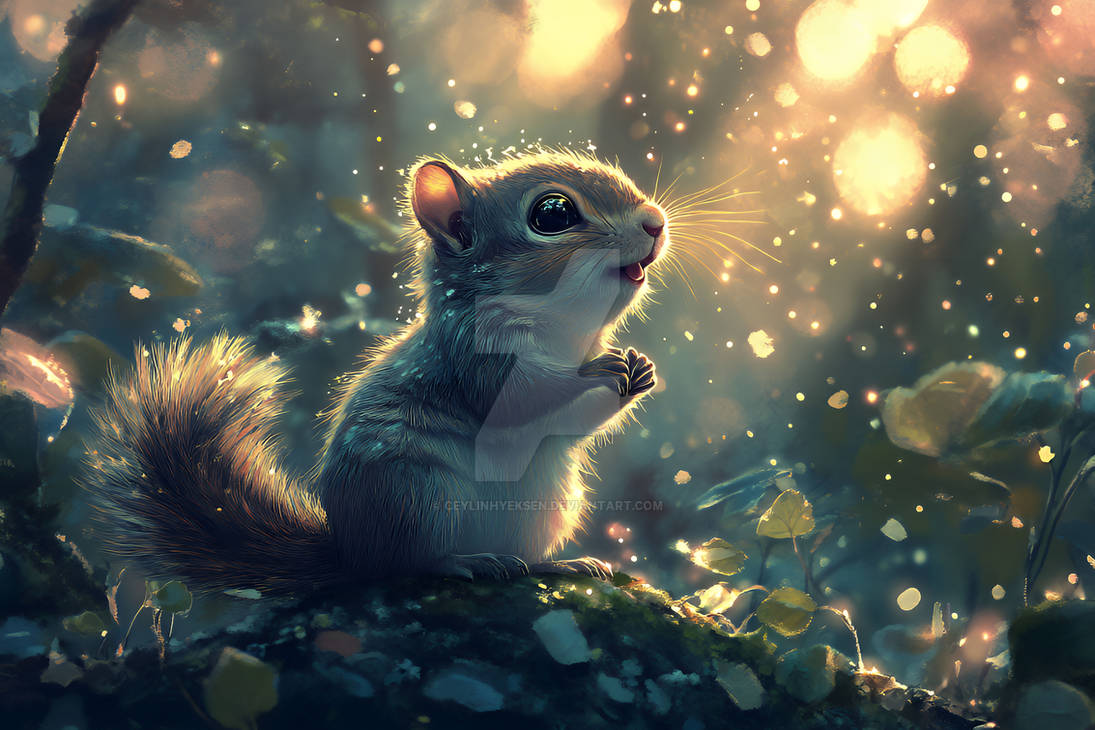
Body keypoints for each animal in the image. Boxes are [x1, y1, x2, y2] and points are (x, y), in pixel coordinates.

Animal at [85, 150, 668, 595]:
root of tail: (348, 550)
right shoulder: (473, 353)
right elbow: (527, 396)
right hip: (419, 497)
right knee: (404, 565)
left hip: (541, 507)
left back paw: (561, 563)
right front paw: (601, 370)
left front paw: (637, 371)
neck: (565, 333)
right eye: (553, 214)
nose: (655, 223)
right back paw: (465, 562)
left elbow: (570, 424)